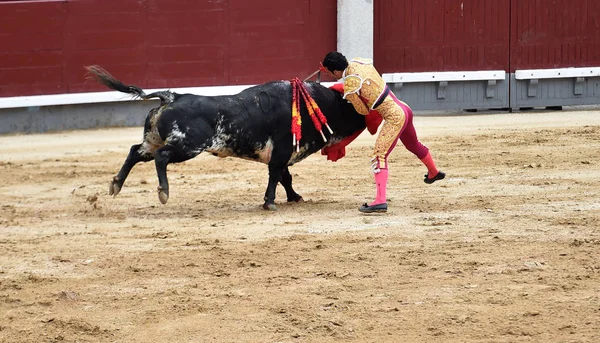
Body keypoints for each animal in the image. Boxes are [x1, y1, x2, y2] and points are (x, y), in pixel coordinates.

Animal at [84, 64, 366, 210]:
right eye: (353, 107)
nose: (368, 116)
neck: (315, 104)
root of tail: (173, 96)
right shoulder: (282, 151)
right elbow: (277, 176)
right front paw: (270, 203)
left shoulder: (281, 154)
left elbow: (285, 177)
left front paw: (294, 197)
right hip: (188, 145)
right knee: (161, 158)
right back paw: (163, 192)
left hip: (154, 140)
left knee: (135, 151)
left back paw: (116, 184)